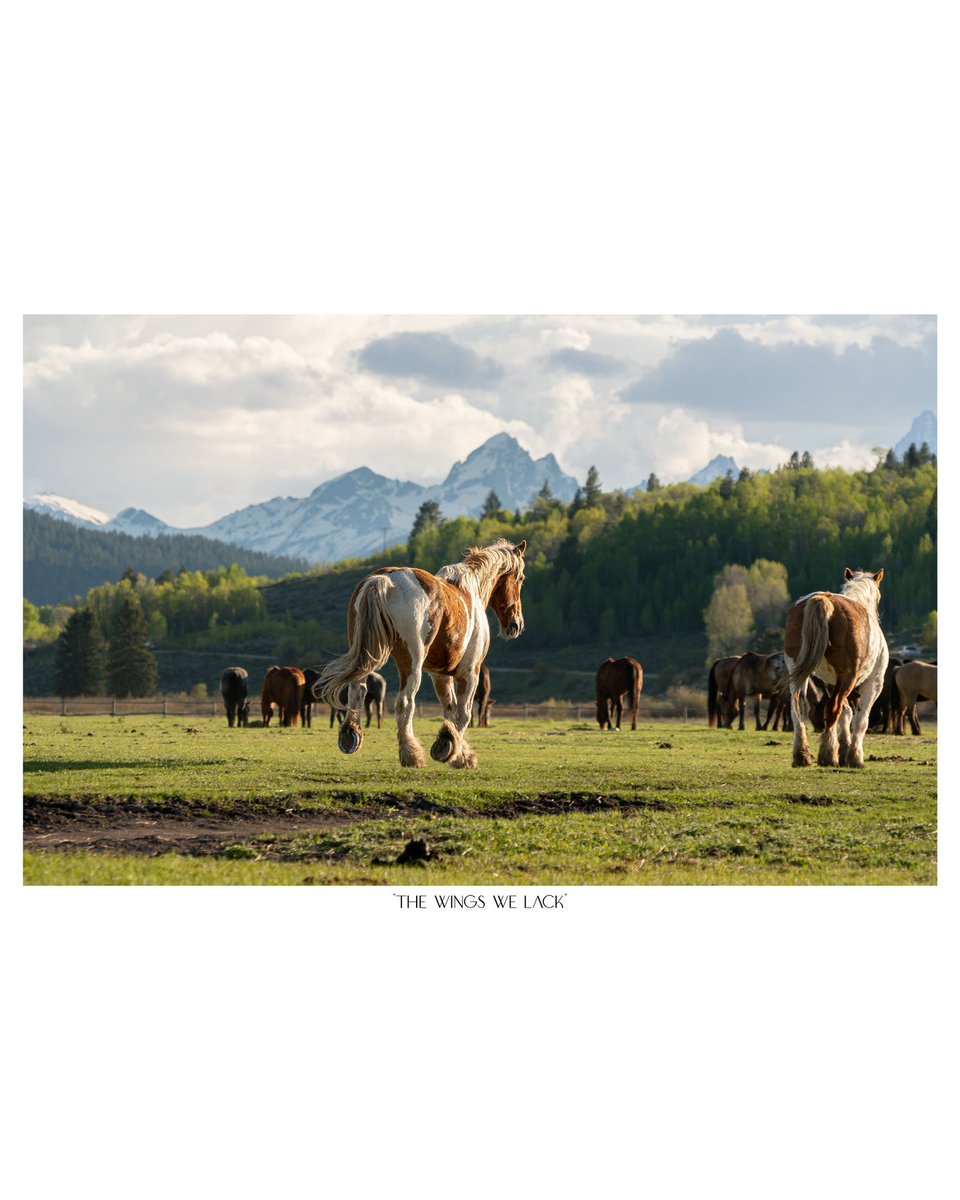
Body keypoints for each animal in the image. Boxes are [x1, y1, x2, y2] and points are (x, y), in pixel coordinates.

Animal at [318, 538, 526, 769]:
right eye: (521, 578)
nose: (516, 624)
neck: (469, 590)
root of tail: (384, 579)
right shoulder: (470, 671)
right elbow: (463, 713)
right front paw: (453, 750)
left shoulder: (440, 675)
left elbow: (450, 709)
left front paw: (455, 749)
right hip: (411, 663)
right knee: (405, 702)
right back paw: (411, 754)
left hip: (367, 656)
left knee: (356, 691)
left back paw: (351, 734)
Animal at [785, 568, 888, 768]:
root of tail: (822, 599)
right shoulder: (873, 684)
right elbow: (860, 719)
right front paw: (854, 756)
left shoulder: (832, 683)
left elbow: (846, 714)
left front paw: (844, 748)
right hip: (849, 676)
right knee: (832, 709)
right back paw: (827, 754)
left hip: (798, 673)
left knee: (798, 708)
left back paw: (802, 755)